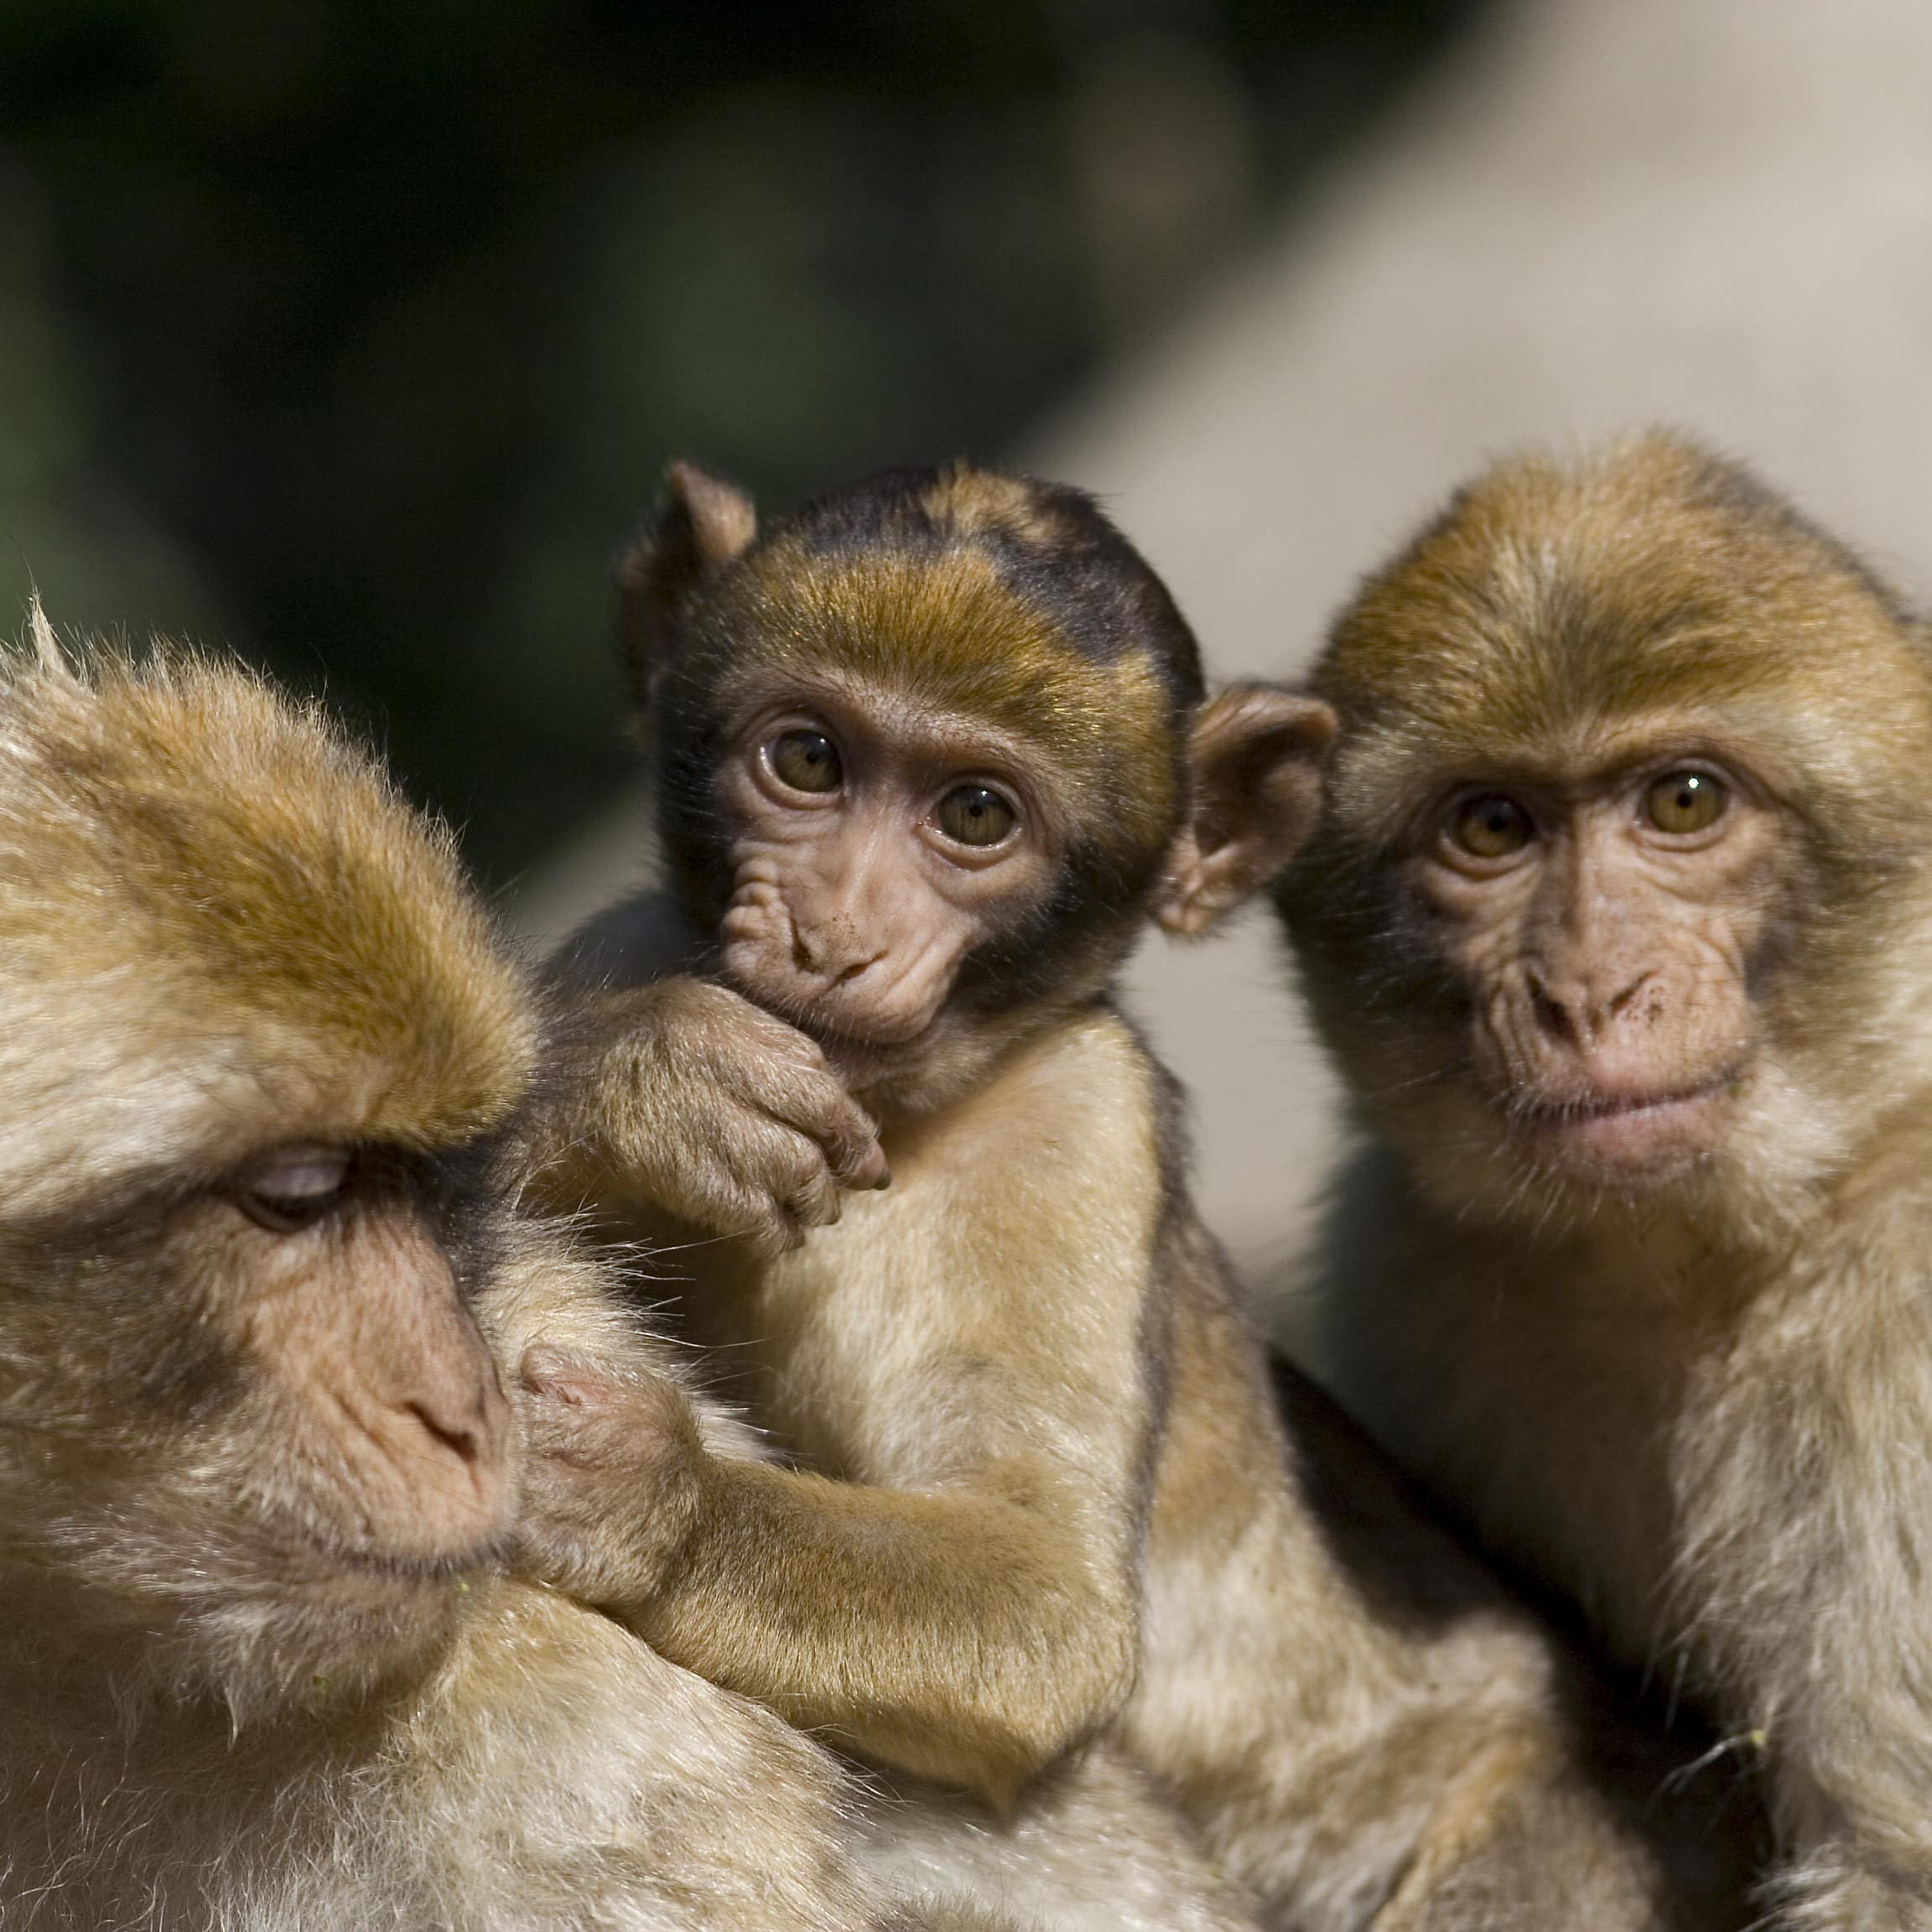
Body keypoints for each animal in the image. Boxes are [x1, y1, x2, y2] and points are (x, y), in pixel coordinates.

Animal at [522, 463, 1762, 1932]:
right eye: (809, 760)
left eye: (976, 816)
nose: (834, 936)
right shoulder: (629, 944)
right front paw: (642, 1083)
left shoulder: (1076, 1131)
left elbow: (1047, 1611)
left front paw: (636, 1495)